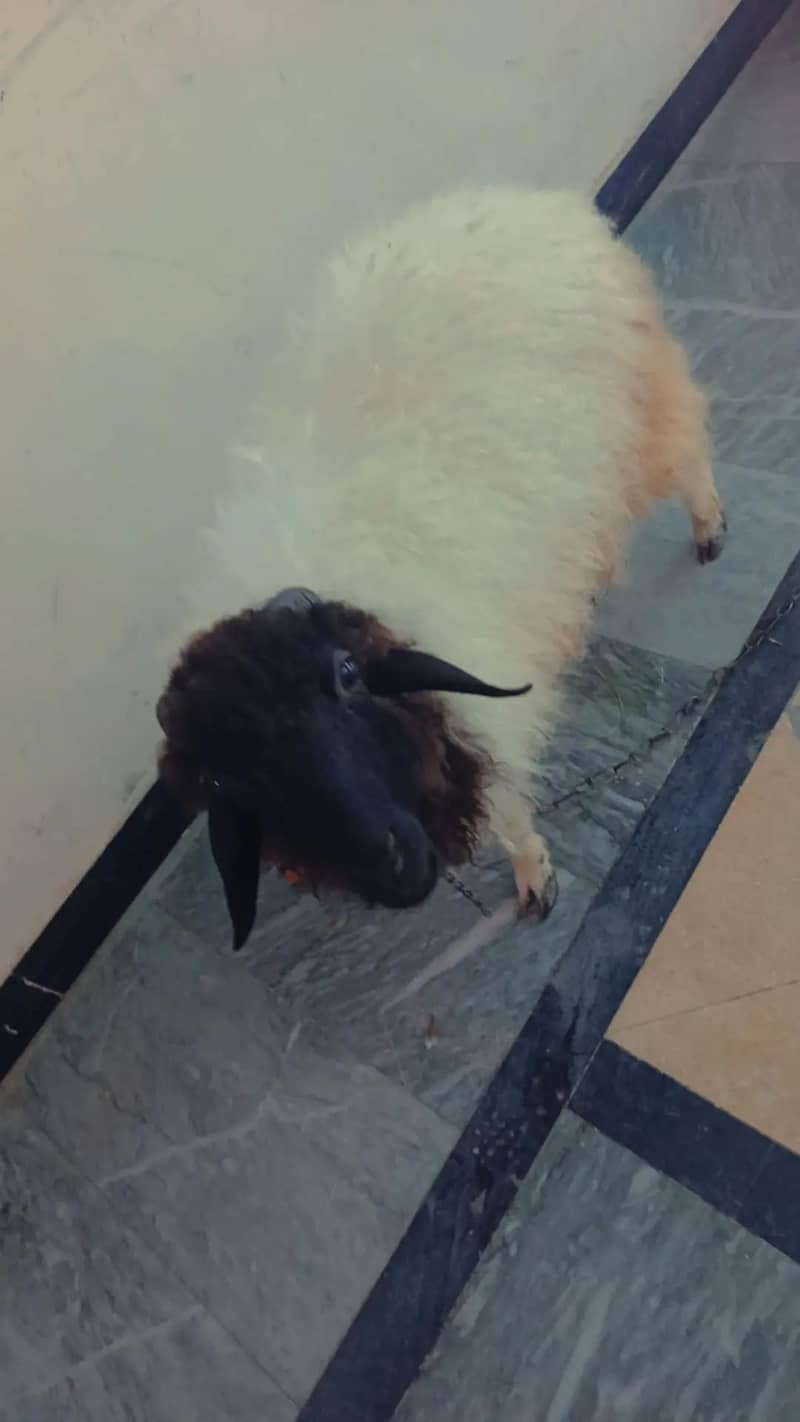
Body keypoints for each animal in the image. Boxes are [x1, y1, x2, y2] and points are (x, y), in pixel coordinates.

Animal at [157, 186, 725, 951]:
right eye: (226, 784)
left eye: (347, 676)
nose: (392, 866)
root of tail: (527, 201)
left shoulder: (483, 708)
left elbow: (509, 810)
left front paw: (534, 877)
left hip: (643, 406)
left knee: (689, 450)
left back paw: (708, 528)